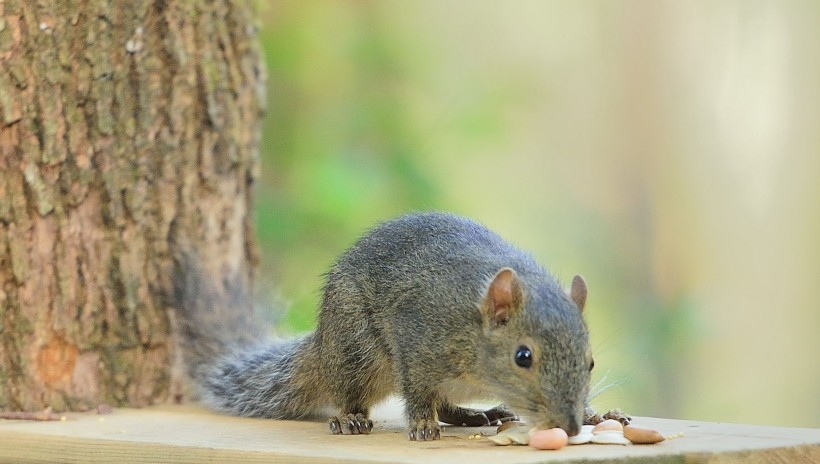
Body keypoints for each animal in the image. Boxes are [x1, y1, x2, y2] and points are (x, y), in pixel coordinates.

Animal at [175, 212, 620, 440]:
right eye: (523, 357)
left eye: (590, 362)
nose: (569, 426)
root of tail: (321, 343)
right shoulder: (418, 341)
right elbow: (419, 393)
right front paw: (421, 423)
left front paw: (597, 415)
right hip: (356, 352)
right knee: (349, 392)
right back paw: (350, 419)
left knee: (450, 406)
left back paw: (479, 415)